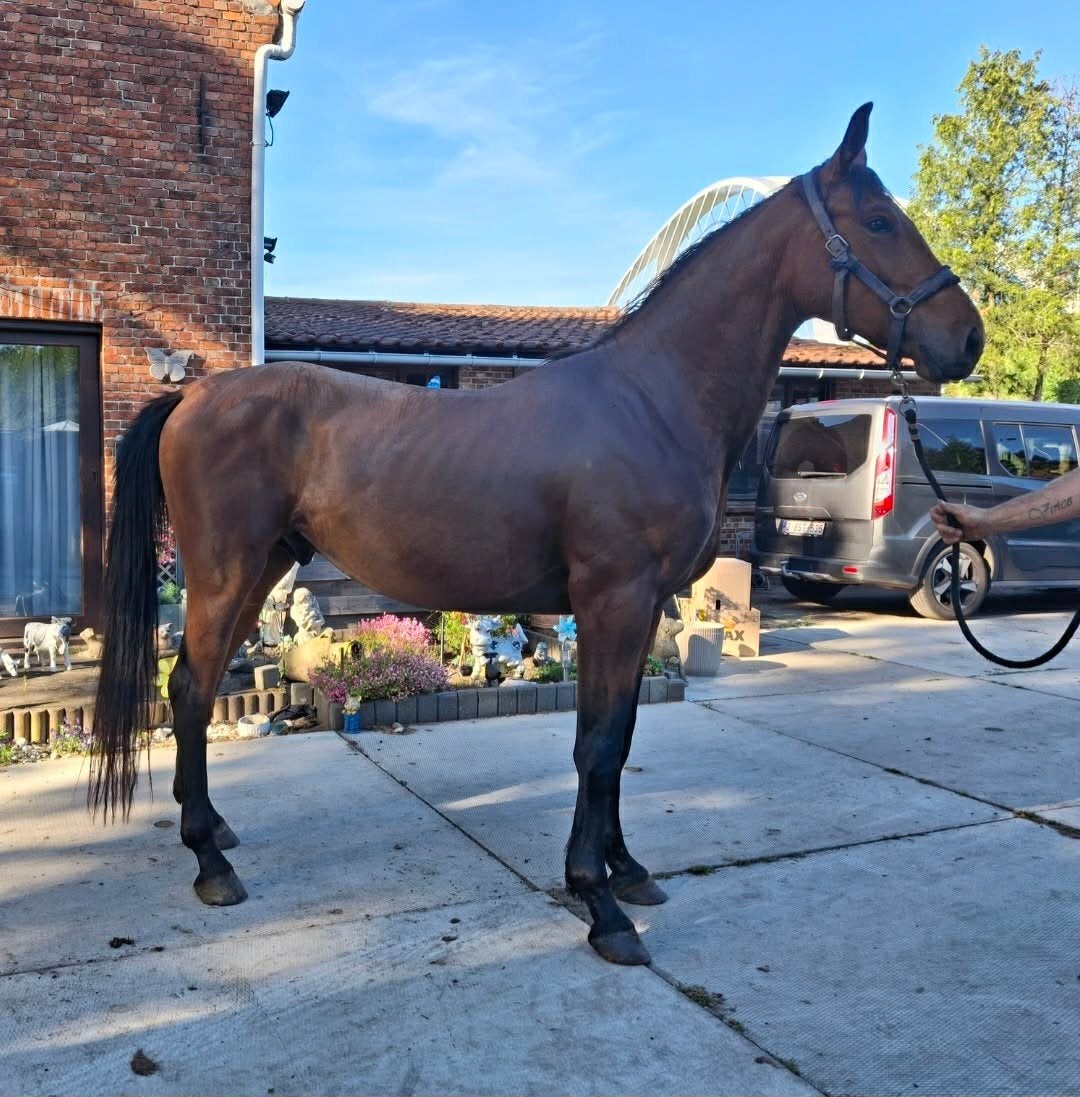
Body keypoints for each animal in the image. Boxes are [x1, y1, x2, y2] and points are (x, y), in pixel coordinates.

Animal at [91, 104, 983, 966]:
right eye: (878, 220)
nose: (968, 337)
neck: (652, 398)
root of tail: (195, 395)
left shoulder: (643, 609)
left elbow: (620, 737)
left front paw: (628, 869)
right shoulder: (612, 602)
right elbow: (596, 745)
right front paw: (601, 904)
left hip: (259, 568)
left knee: (198, 689)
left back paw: (215, 830)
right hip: (224, 571)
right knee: (190, 689)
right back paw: (210, 862)